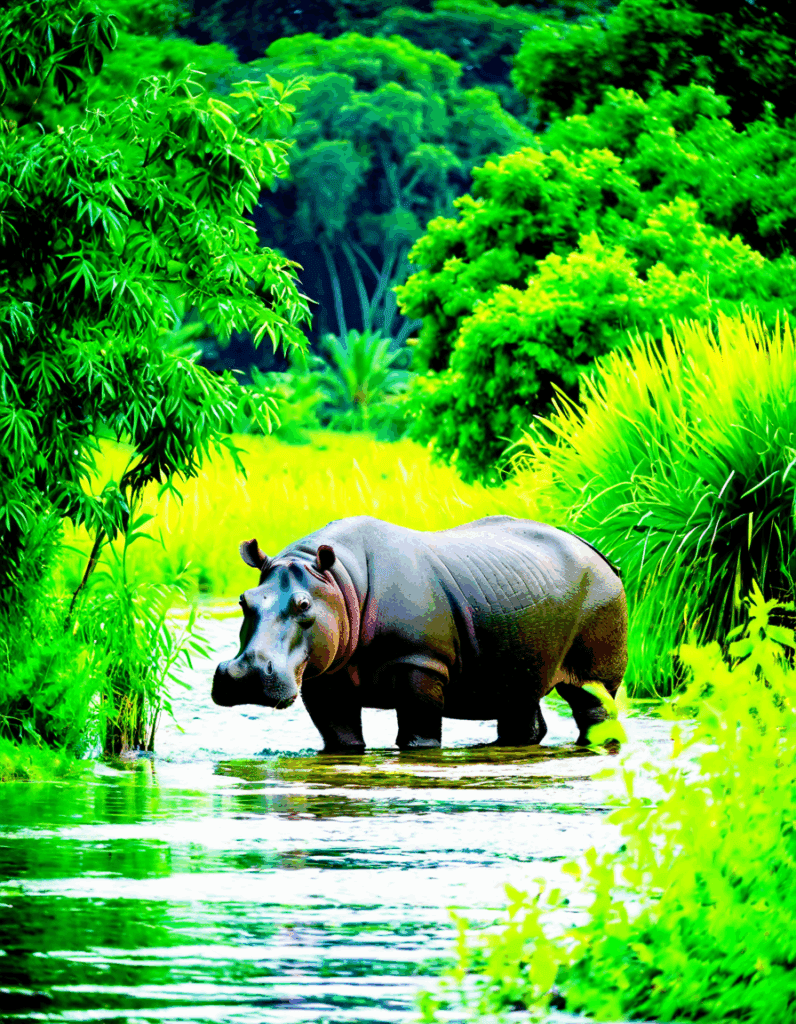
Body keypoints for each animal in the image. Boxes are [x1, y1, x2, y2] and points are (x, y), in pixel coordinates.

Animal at [212, 516, 628, 751]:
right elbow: (341, 737)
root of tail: (604, 557)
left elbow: (418, 734)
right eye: (243, 601)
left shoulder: (421, 662)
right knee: (519, 699)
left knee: (591, 701)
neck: (337, 582)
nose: (244, 675)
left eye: (303, 605)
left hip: (600, 604)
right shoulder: (323, 675)